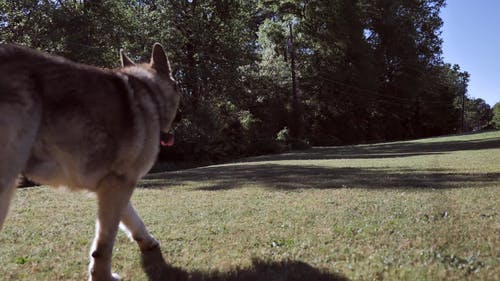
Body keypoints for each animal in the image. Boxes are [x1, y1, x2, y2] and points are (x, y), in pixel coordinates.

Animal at [0, 42, 180, 278]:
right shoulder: (118, 185)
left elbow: (131, 218)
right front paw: (102, 276)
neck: (150, 92)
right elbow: (104, 243)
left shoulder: (115, 185)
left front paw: (146, 240)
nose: (180, 118)